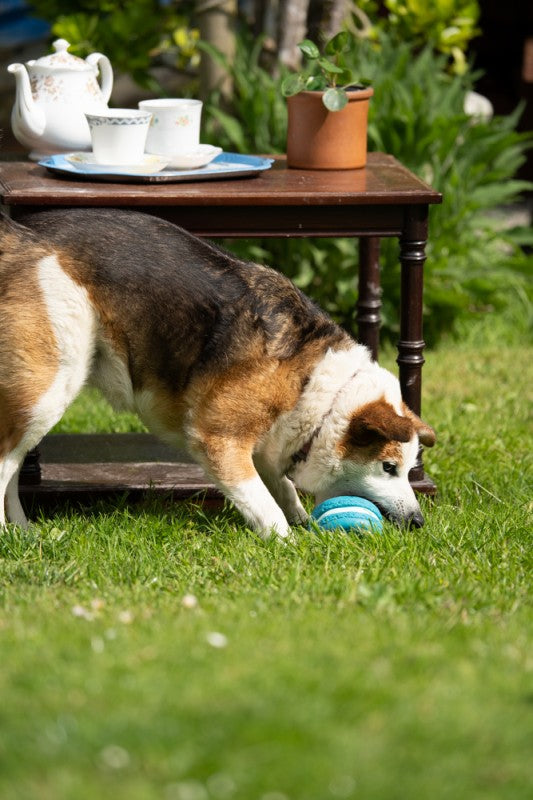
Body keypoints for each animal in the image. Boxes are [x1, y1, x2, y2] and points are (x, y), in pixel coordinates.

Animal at [0, 209, 432, 536]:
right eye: (388, 467)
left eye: (408, 468)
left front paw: (302, 521)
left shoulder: (267, 444)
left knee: (13, 470)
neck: (313, 384)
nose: (418, 522)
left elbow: (282, 488)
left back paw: (23, 532)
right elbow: (264, 505)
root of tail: (17, 234)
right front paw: (288, 543)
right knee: (4, 465)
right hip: (50, 387)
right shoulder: (218, 438)